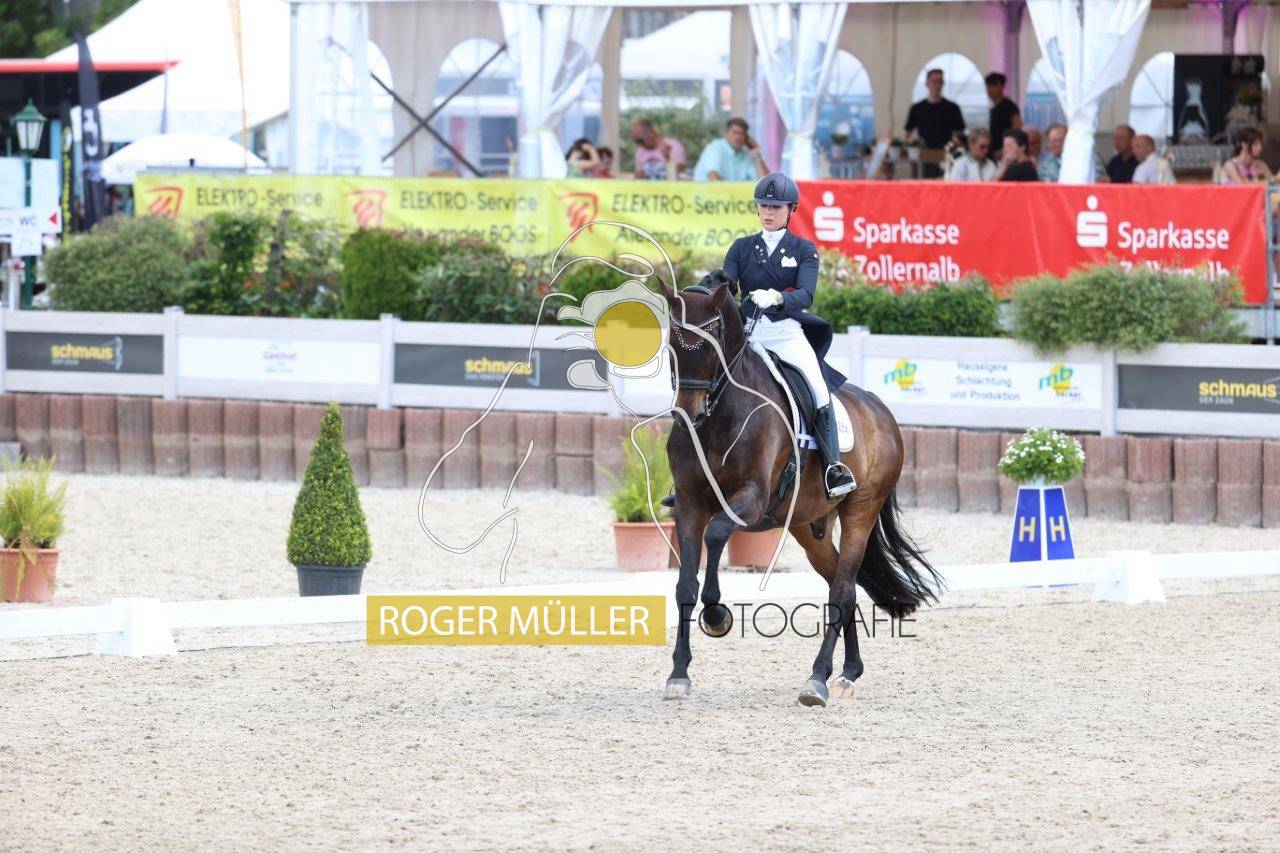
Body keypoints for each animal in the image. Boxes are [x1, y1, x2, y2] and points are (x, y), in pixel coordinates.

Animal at [658, 278, 942, 706]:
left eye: (710, 343)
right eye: (671, 344)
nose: (687, 416)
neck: (722, 413)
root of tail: (882, 412)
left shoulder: (751, 498)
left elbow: (718, 533)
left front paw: (717, 617)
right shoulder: (690, 504)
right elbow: (685, 586)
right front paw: (678, 674)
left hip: (860, 509)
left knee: (841, 589)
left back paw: (818, 680)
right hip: (809, 529)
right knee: (843, 582)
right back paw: (848, 672)